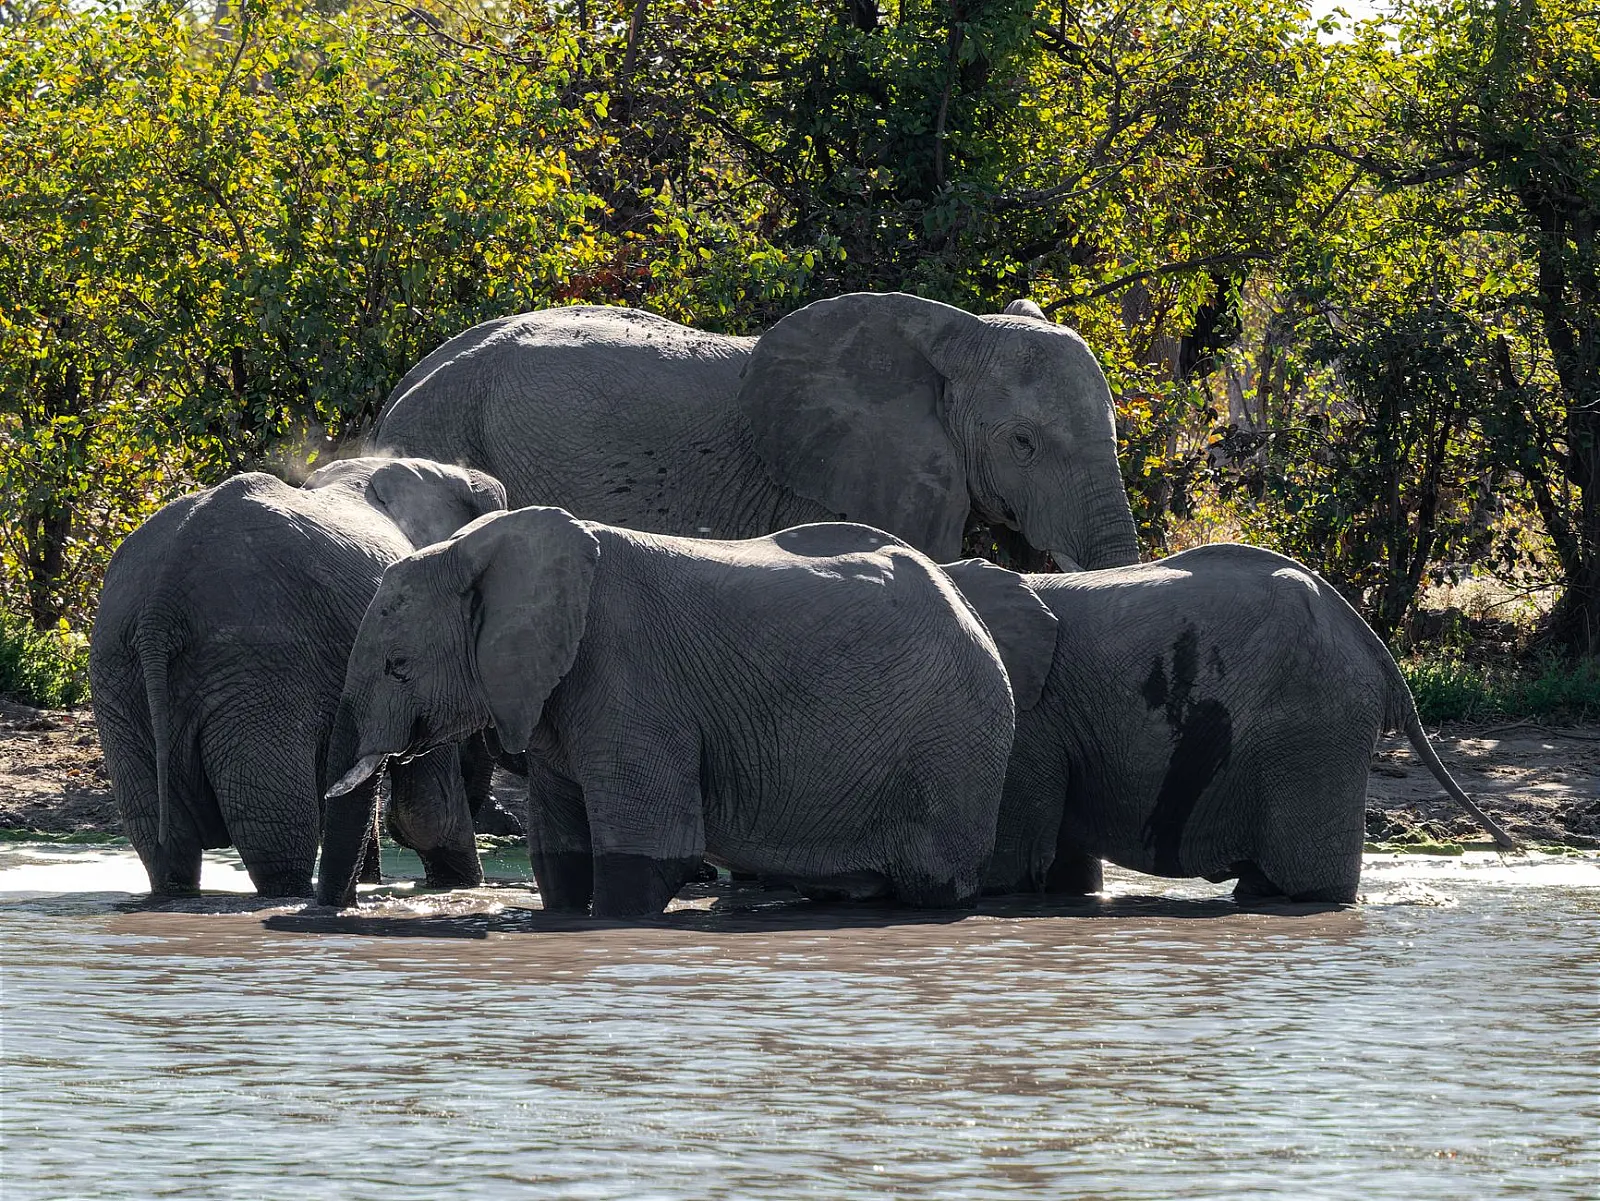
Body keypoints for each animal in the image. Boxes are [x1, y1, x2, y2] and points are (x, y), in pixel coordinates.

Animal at [89, 457, 507, 897]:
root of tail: (161, 602)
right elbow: (426, 813)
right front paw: (462, 888)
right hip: (257, 666)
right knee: (277, 827)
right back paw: (290, 893)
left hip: (118, 669)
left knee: (159, 832)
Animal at [319, 509, 1042, 915]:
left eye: (398, 666)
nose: (340, 912)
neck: (484, 547)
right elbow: (559, 857)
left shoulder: (629, 678)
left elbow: (649, 855)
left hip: (952, 746)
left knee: (934, 884)